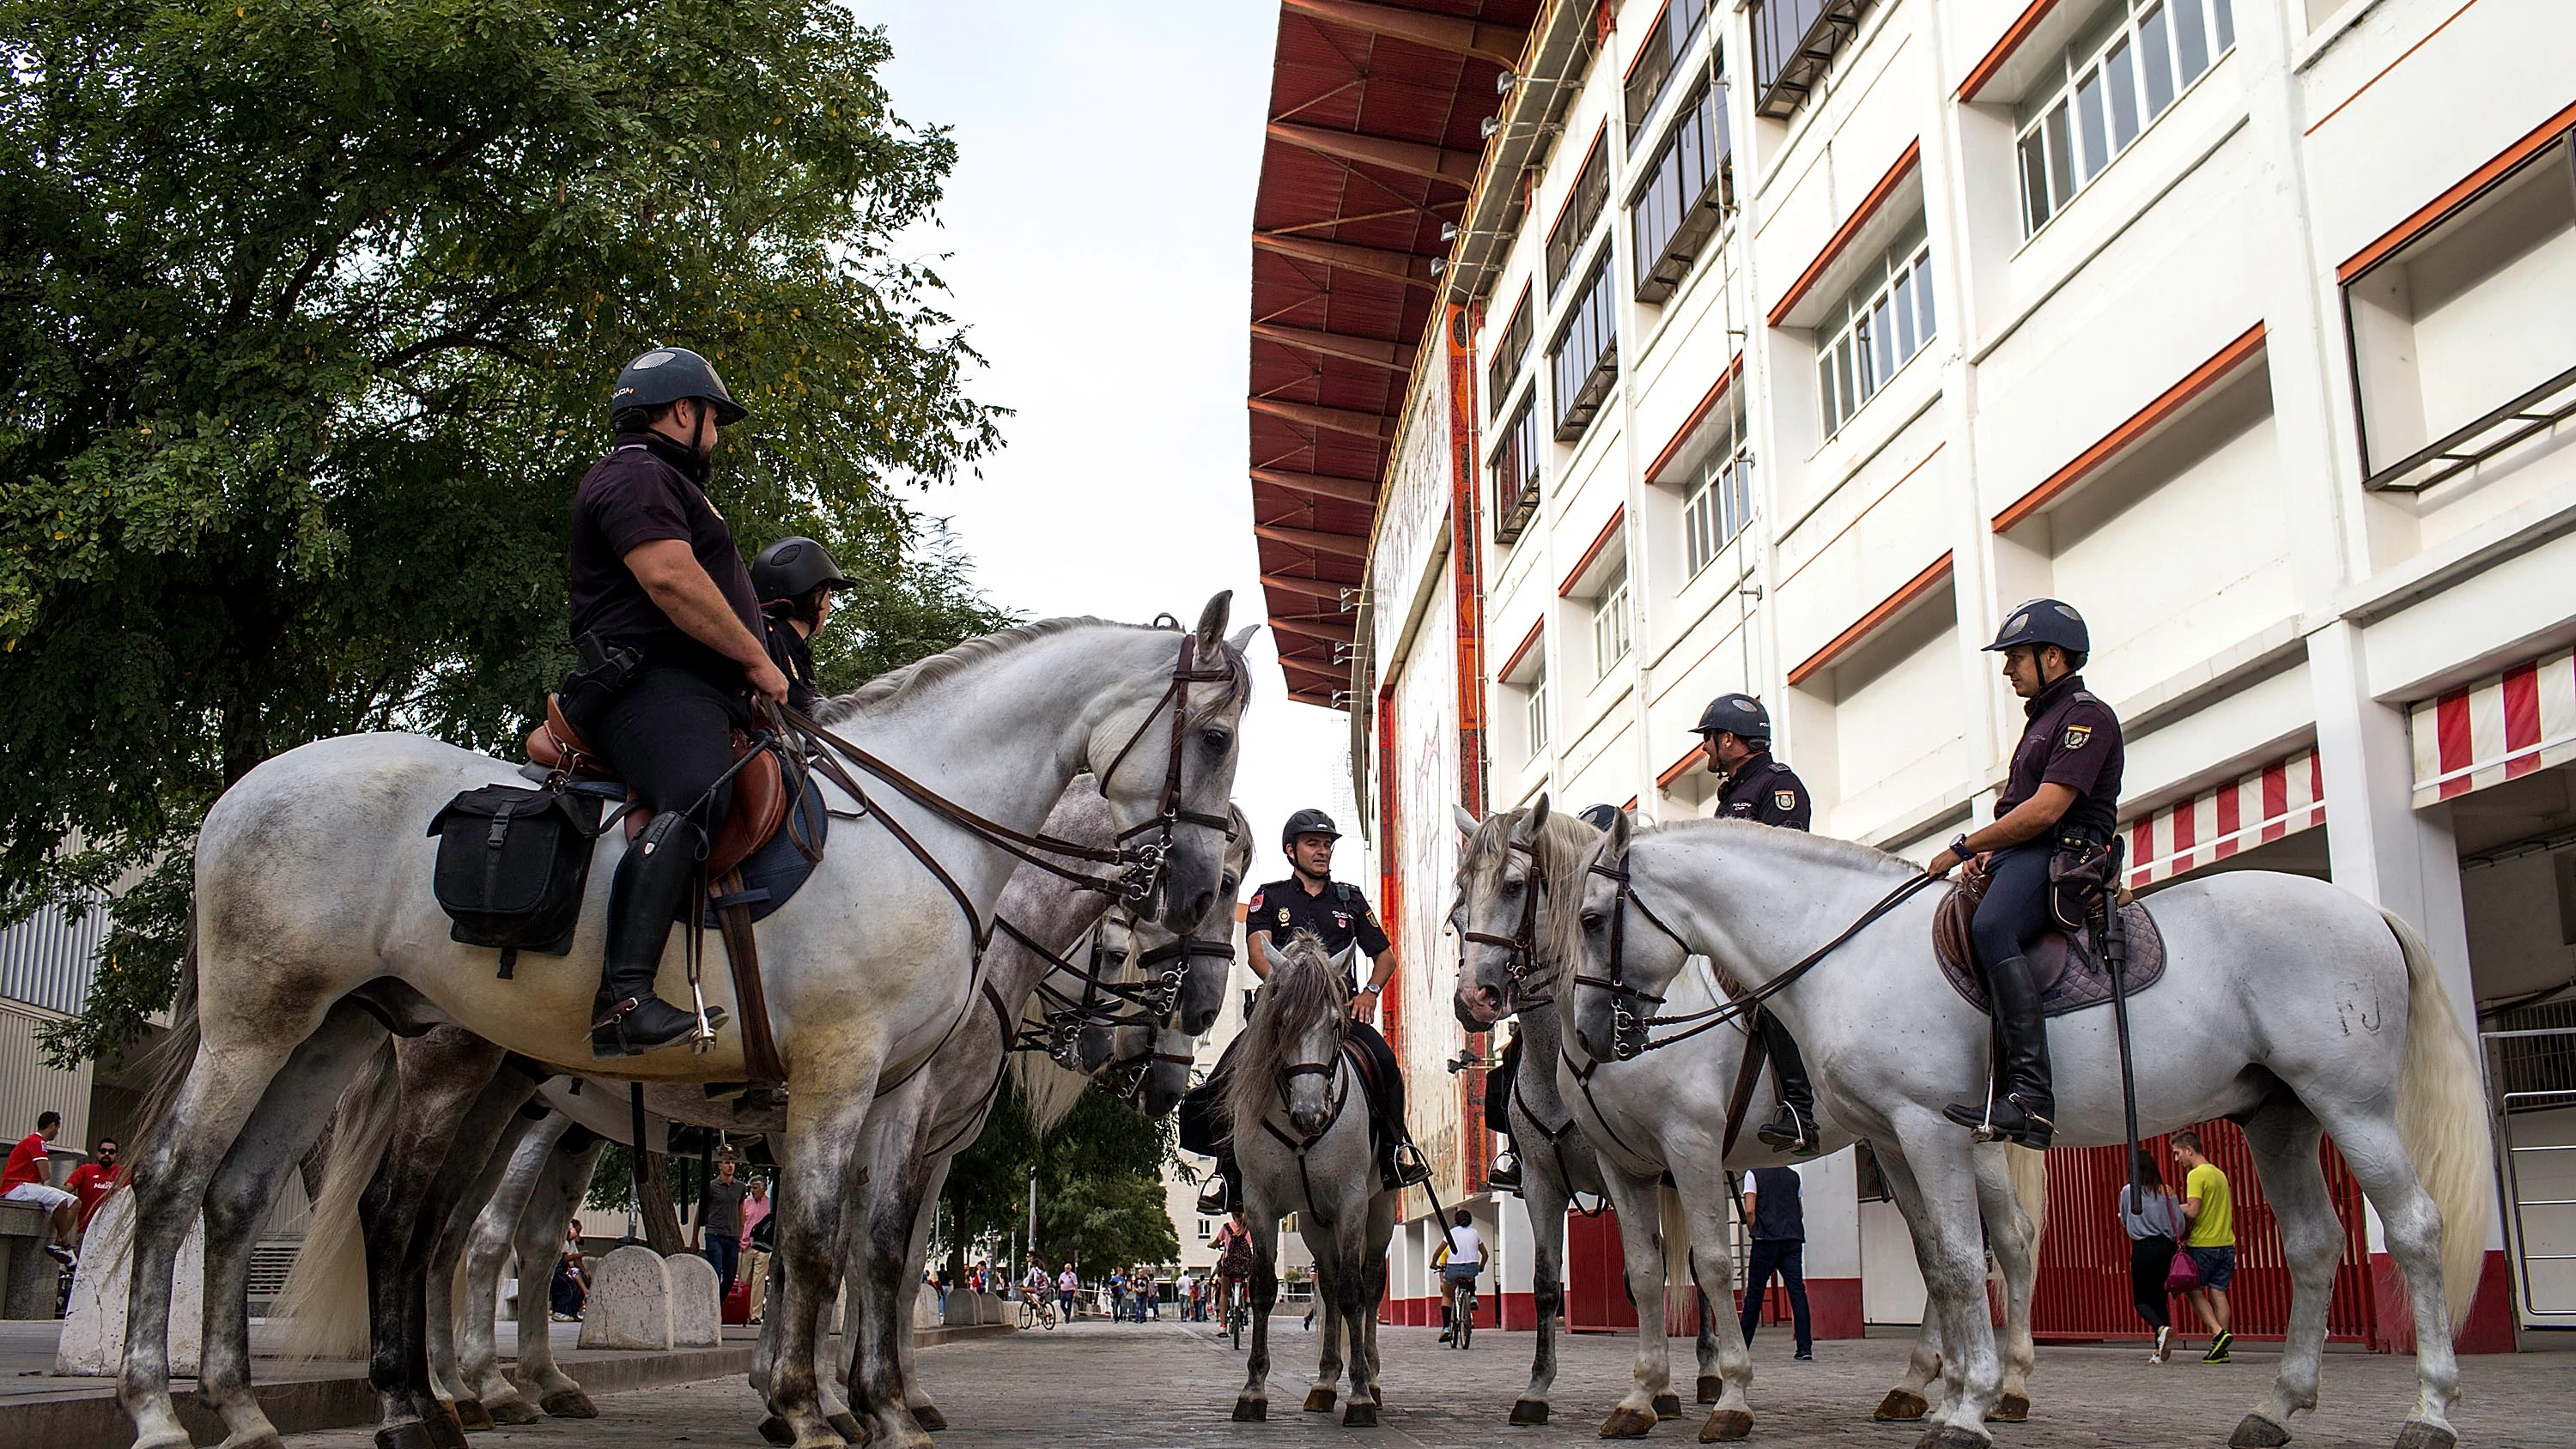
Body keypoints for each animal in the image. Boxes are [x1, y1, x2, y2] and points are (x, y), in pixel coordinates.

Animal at [116, 597, 1262, 1449]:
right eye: (1213, 737)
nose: (1200, 1019)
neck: (933, 836)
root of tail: (243, 788)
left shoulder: (898, 1108)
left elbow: (879, 1252)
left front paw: (878, 1406)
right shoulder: (839, 1075)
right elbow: (819, 1247)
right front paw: (808, 1404)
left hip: (354, 1038)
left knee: (283, 1200)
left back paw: (282, 1405)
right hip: (289, 1031)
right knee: (259, 1194)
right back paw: (216, 1406)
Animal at [1221, 937, 1401, 1421]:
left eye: (1337, 1023)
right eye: (1282, 1021)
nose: (1310, 1114)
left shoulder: (1352, 1202)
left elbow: (1356, 1292)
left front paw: (1359, 1396)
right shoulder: (1261, 1204)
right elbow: (1265, 1288)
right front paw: (1253, 1390)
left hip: (1380, 1211)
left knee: (1369, 1283)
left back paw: (1371, 1378)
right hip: (1314, 1222)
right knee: (1329, 1282)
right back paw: (1323, 1383)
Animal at [1453, 803, 2050, 1441]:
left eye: (1514, 885)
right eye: (1458, 905)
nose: (1475, 999)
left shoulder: (1687, 1148)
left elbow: (1710, 1266)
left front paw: (1720, 1392)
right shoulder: (1569, 1175)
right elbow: (1601, 1278)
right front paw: (1558, 1393)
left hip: (1964, 1141)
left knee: (2008, 1240)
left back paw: (2006, 1387)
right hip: (1895, 1139)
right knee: (1938, 1251)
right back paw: (1920, 1386)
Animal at [1535, 818, 2483, 1449]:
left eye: (1590, 918)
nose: (1588, 1035)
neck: (1843, 948)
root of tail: (2367, 912)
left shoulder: (1919, 1128)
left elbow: (1959, 1262)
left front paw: (1964, 1407)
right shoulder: (1896, 1137)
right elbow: (1941, 1264)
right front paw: (1960, 1390)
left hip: (2348, 1104)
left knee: (2414, 1228)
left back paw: (2430, 1411)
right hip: (2277, 1113)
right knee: (2316, 1242)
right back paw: (2276, 1409)